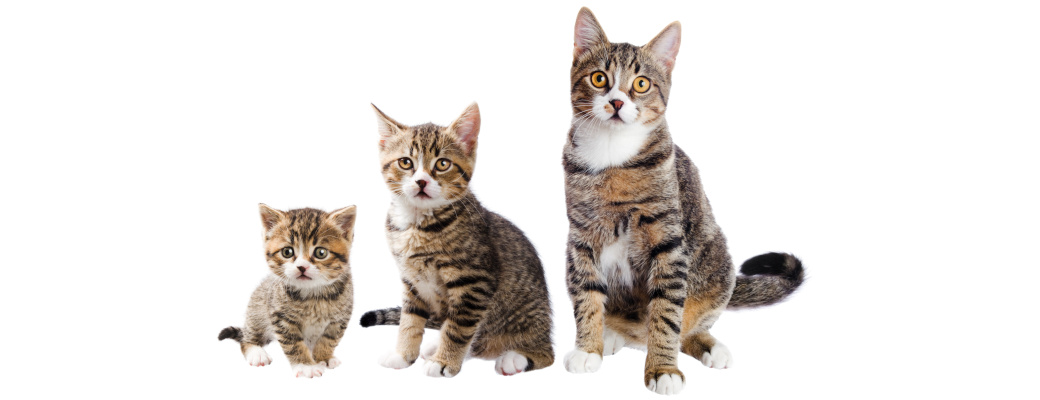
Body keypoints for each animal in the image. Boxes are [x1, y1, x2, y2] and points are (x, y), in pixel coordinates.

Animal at [218, 204, 357, 378]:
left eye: (321, 253)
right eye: (287, 252)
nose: (302, 267)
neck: (313, 295)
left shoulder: (341, 317)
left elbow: (330, 338)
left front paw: (324, 357)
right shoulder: (280, 316)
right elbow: (293, 342)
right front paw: (306, 366)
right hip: (257, 308)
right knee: (246, 337)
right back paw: (256, 352)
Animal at [359, 103, 554, 378]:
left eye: (442, 164)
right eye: (405, 162)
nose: (421, 181)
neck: (418, 225)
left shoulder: (474, 282)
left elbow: (459, 328)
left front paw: (444, 362)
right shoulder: (412, 281)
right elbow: (410, 320)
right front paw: (403, 354)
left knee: (543, 351)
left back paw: (515, 357)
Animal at [561, 8, 805, 395]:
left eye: (641, 84)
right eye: (599, 79)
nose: (616, 102)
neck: (613, 156)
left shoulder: (668, 242)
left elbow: (666, 312)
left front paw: (663, 368)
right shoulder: (581, 237)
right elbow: (587, 295)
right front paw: (589, 347)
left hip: (717, 262)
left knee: (687, 321)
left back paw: (706, 345)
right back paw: (611, 334)